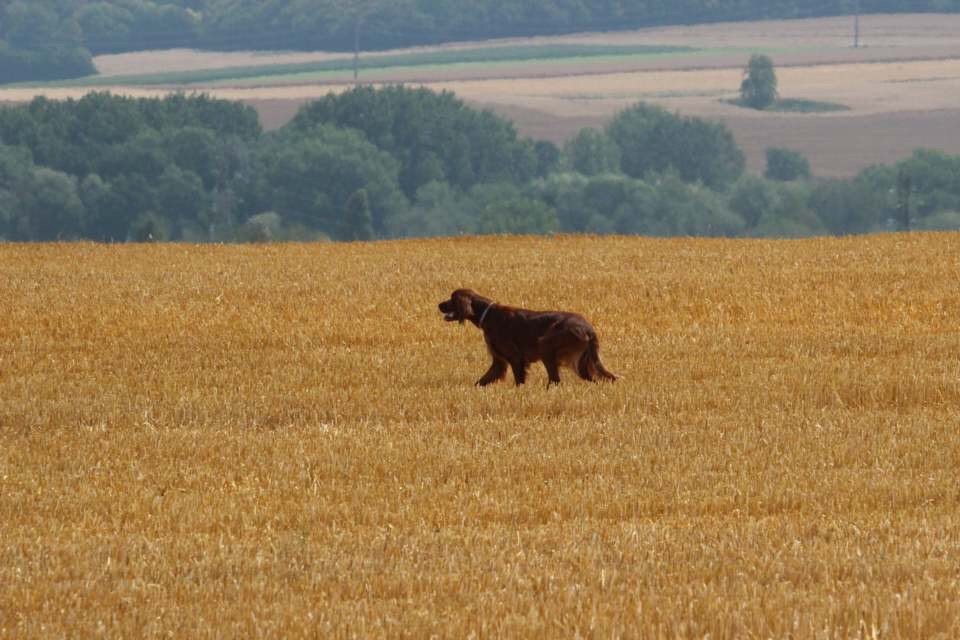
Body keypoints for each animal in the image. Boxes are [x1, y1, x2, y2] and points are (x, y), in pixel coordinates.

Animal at [436, 288, 616, 388]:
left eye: (452, 299)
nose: (438, 304)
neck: (488, 314)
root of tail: (588, 328)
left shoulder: (515, 358)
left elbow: (519, 381)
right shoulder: (499, 362)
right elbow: (481, 381)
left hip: (546, 345)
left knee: (555, 380)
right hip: (582, 362)